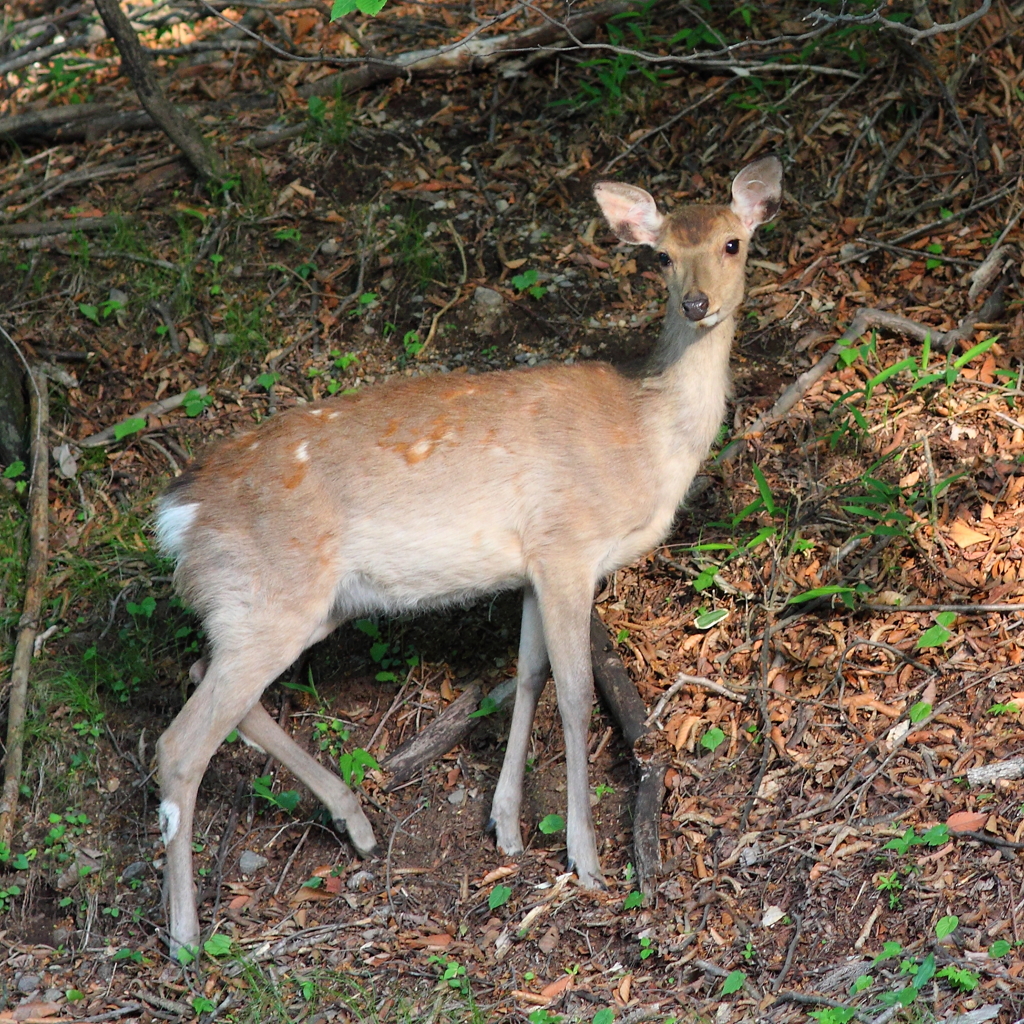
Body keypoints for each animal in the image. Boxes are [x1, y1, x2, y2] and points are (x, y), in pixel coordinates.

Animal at [151, 155, 778, 954]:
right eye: (661, 255)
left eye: (734, 242)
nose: (698, 303)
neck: (648, 438)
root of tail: (178, 516)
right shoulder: (568, 543)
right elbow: (575, 694)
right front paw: (585, 859)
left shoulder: (534, 565)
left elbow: (530, 674)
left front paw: (506, 827)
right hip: (271, 597)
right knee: (179, 744)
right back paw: (186, 937)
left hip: (282, 607)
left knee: (210, 681)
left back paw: (356, 824)